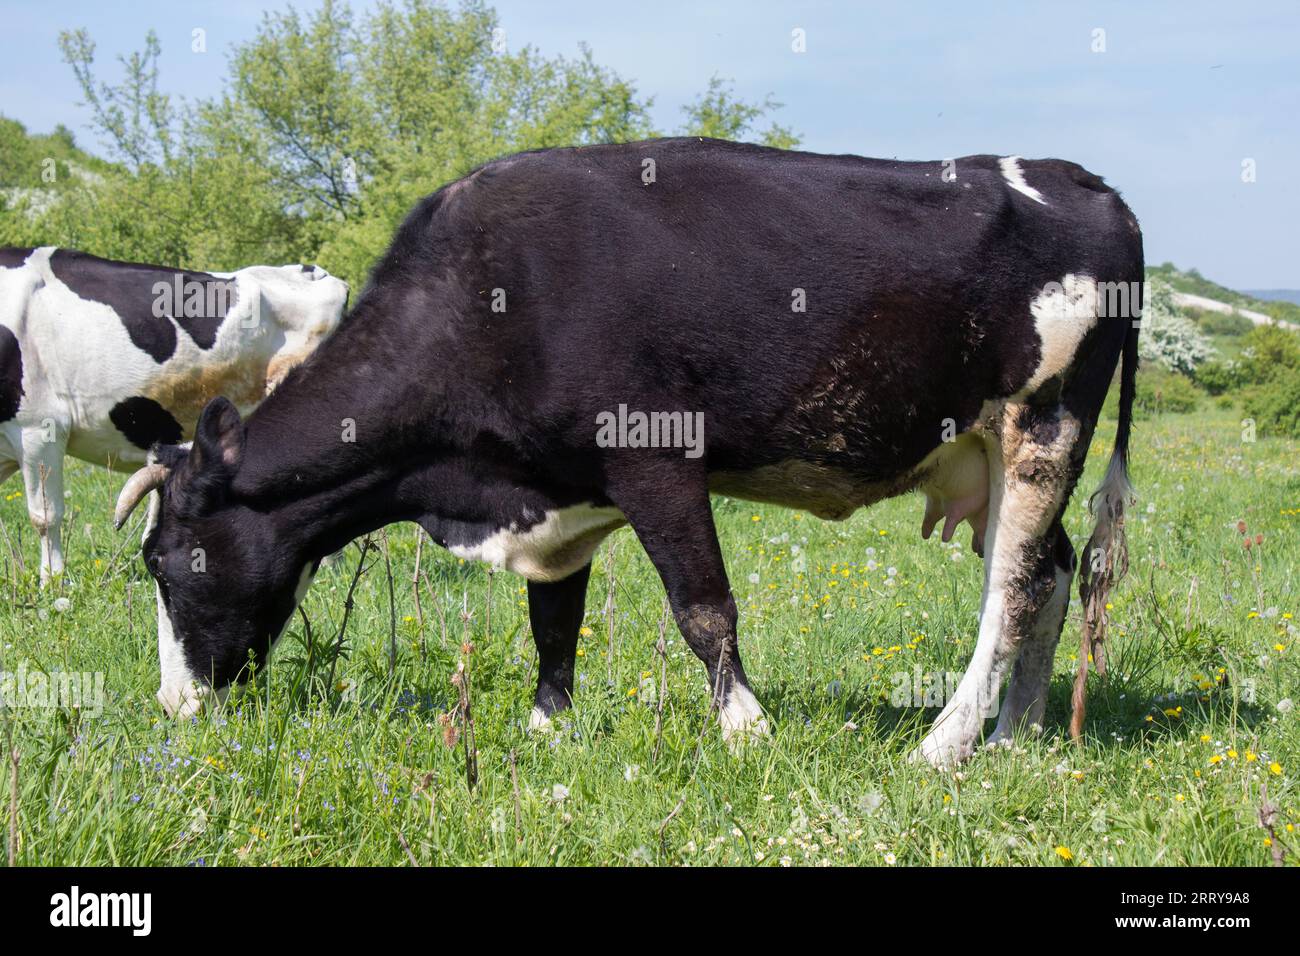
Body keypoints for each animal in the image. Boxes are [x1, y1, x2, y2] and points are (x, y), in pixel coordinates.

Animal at [113, 138, 1142, 766]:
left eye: (165, 561)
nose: (171, 707)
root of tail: (1086, 180)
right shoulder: (554, 487)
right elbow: (553, 617)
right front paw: (547, 727)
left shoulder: (654, 458)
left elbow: (704, 609)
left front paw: (747, 732)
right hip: (988, 456)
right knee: (1046, 573)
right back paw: (1014, 737)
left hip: (1045, 426)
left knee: (1011, 588)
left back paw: (946, 742)